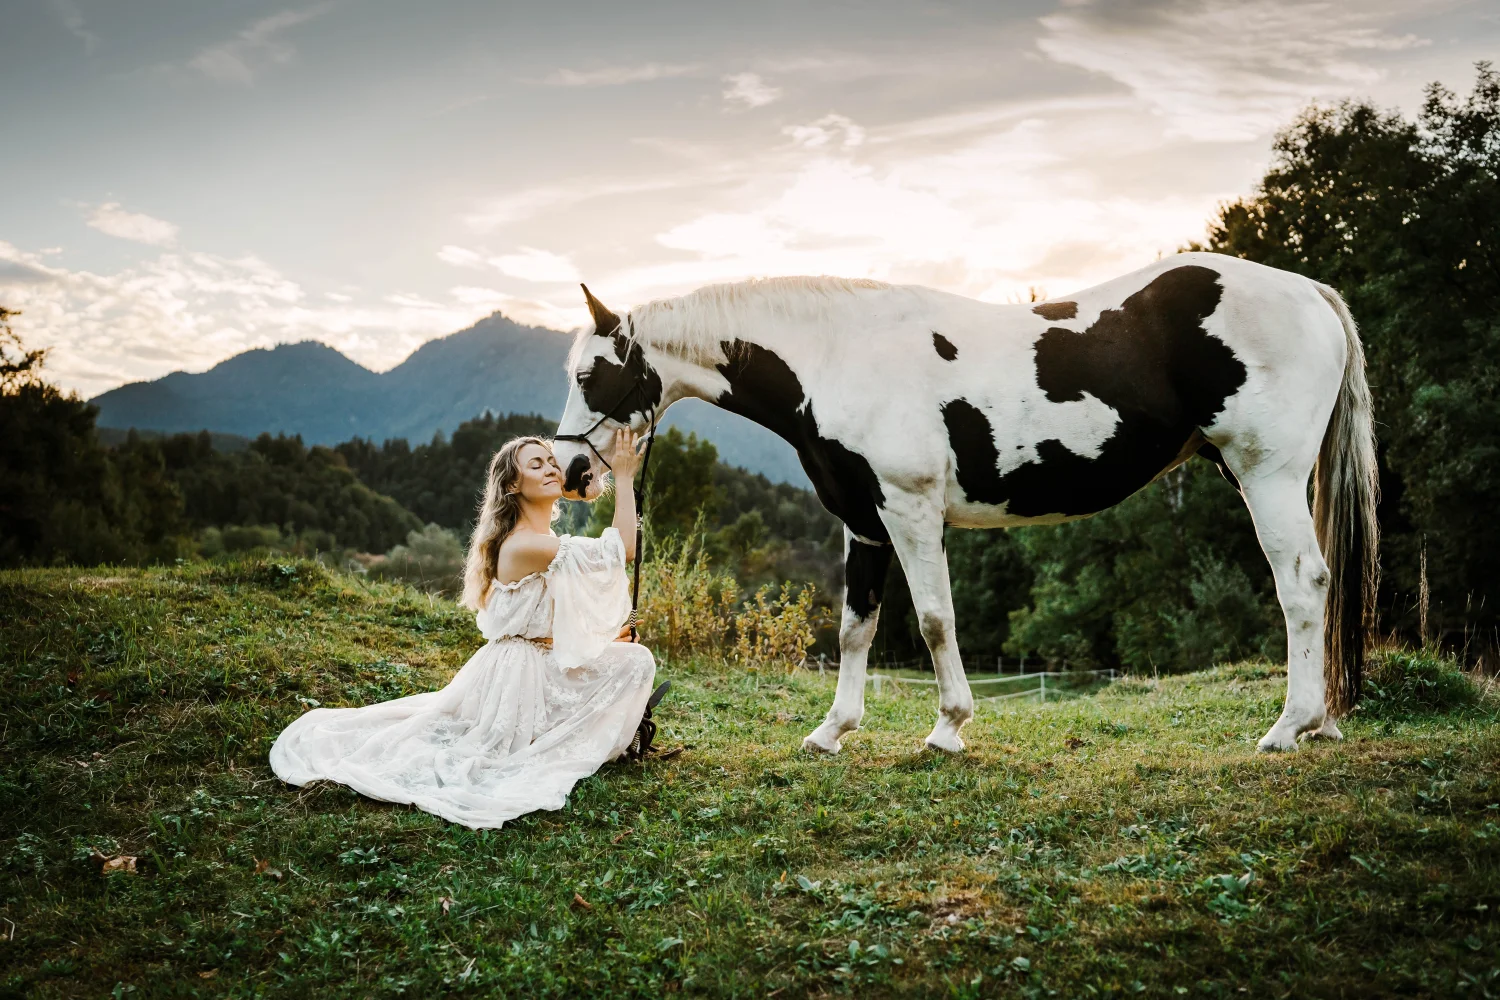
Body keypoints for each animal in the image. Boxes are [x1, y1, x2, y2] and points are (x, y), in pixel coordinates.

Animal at [549, 254, 1374, 755]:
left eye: (591, 375)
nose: (571, 470)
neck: (839, 355)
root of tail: (1310, 292)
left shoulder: (911, 513)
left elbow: (935, 620)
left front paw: (947, 729)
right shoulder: (863, 523)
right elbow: (855, 628)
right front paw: (832, 731)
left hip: (1266, 475)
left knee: (1301, 586)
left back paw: (1290, 726)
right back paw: (1323, 723)